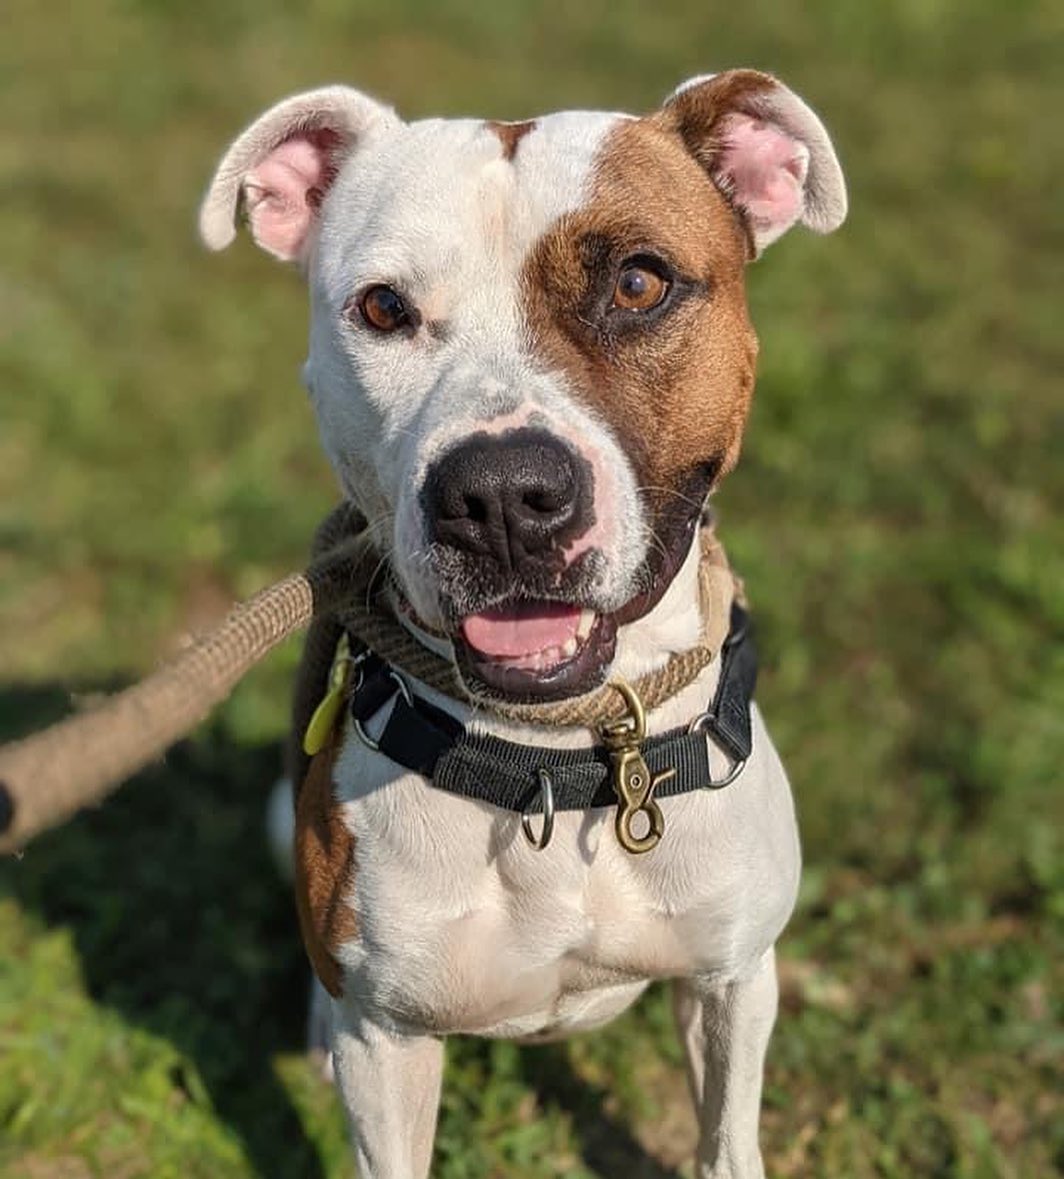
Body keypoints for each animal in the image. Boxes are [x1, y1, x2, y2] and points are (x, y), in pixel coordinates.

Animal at [200, 68, 849, 1174]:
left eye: (637, 284)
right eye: (384, 308)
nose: (502, 495)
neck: (558, 759)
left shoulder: (731, 979)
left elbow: (725, 1139)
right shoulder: (388, 1039)